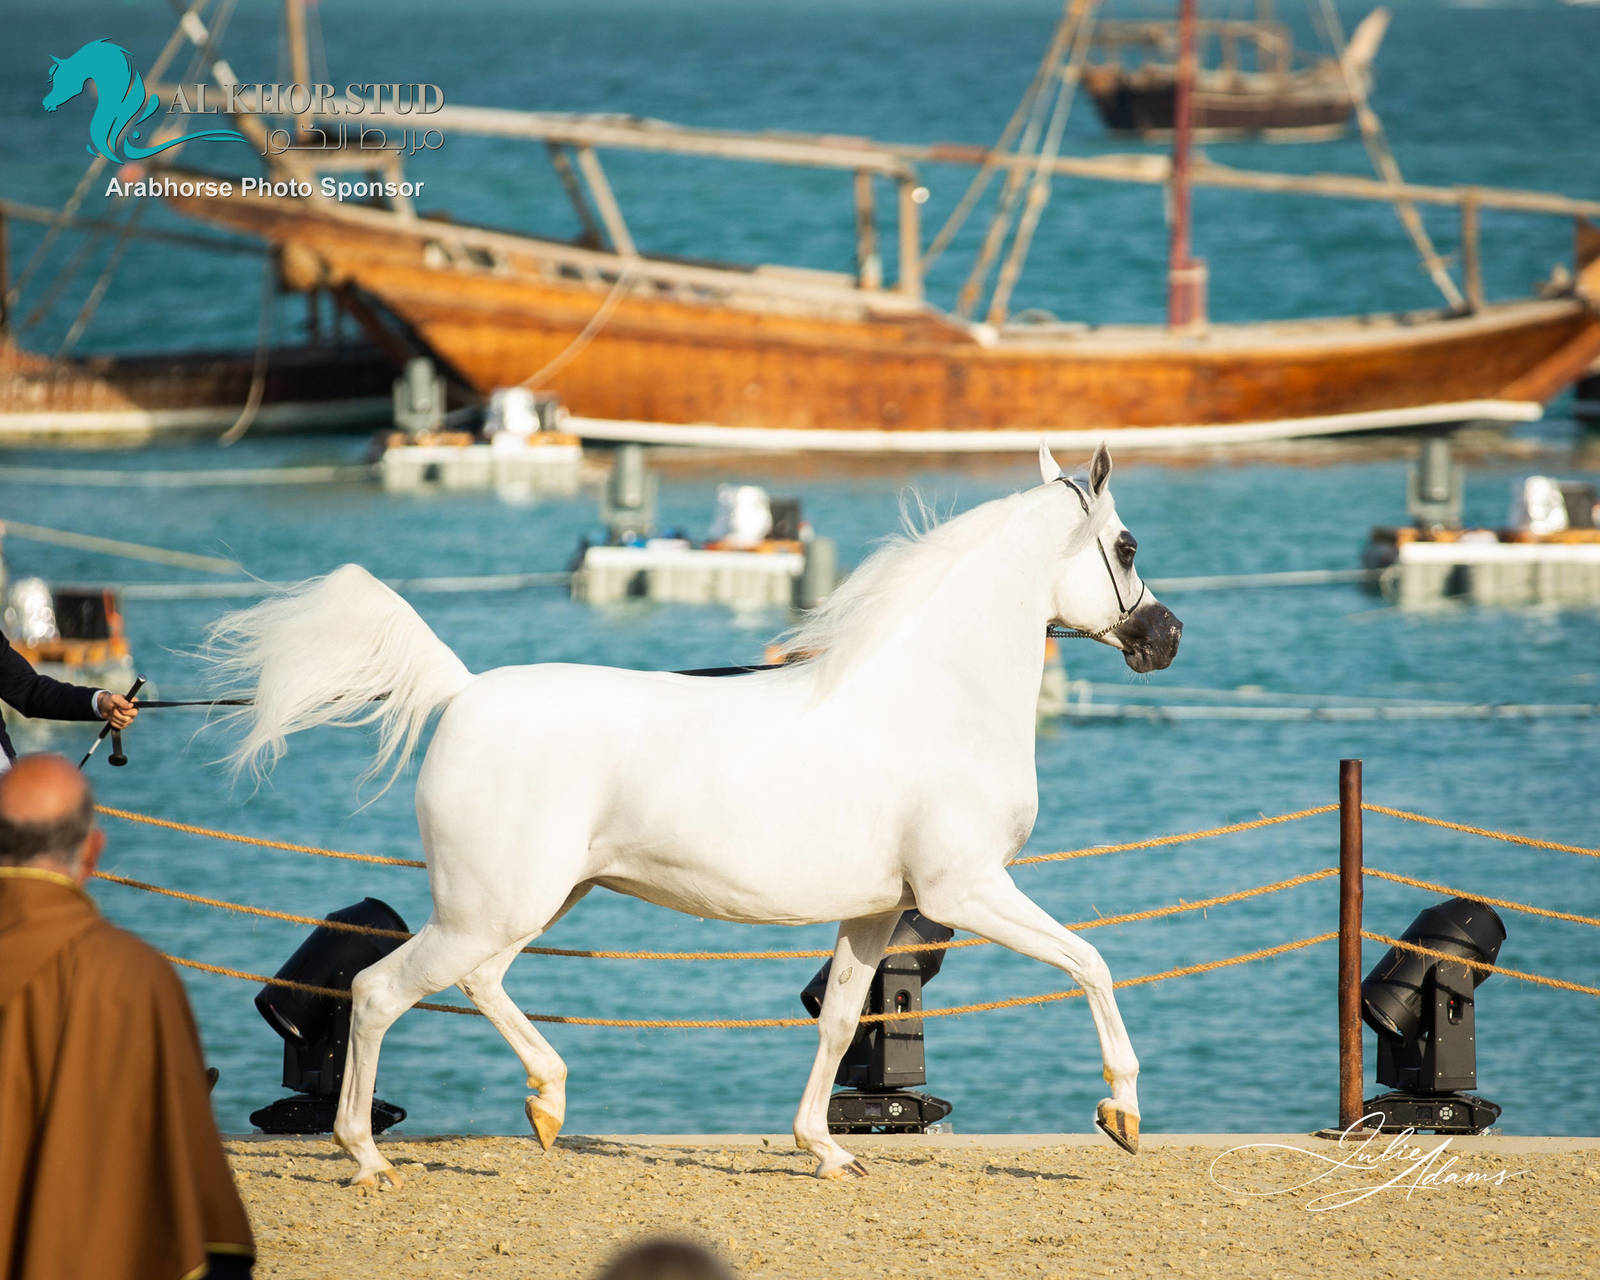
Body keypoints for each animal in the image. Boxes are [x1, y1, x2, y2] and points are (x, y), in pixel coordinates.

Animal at [205, 443, 1182, 1188]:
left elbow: (840, 1022)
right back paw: (369, 1159)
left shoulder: (876, 912)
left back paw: (548, 1104)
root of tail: (464, 692)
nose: (1166, 638)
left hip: (528, 903)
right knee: (378, 992)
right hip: (494, 906)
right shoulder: (968, 889)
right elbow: (1091, 963)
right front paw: (1122, 1113)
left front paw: (825, 1151)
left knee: (479, 981)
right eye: (1127, 545)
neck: (932, 699)